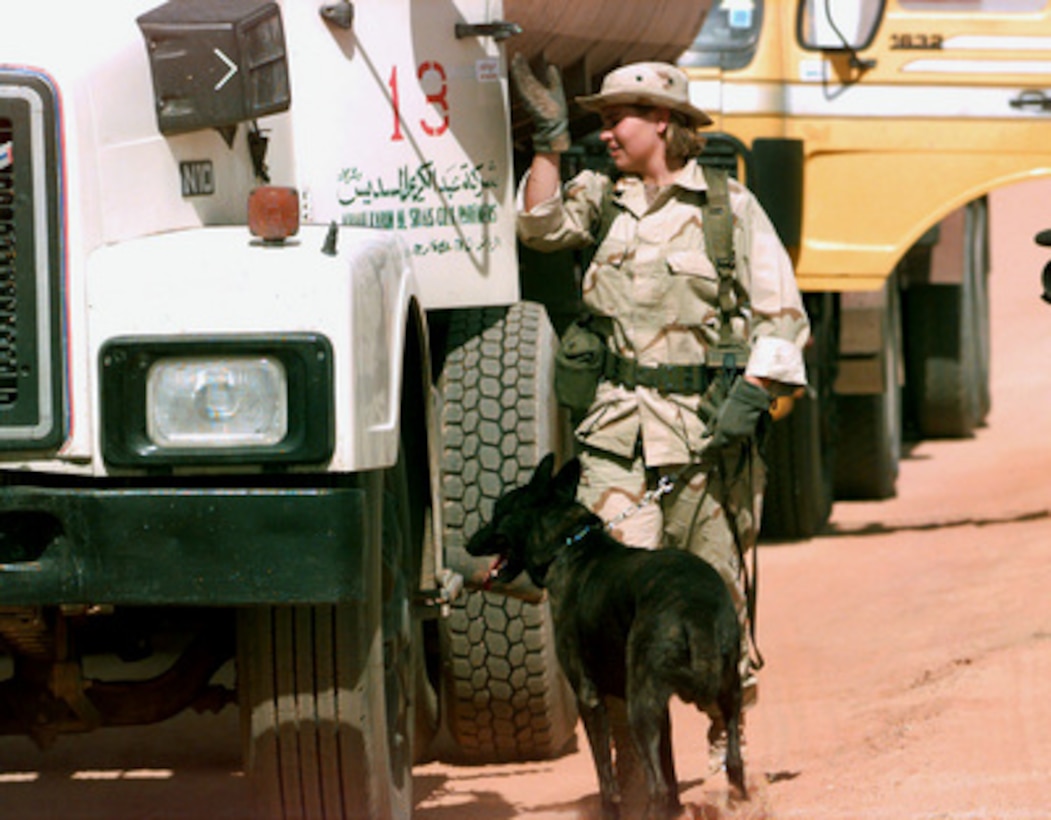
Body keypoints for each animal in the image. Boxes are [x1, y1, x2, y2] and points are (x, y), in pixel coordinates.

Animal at [468, 454, 748, 820]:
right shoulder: (660, 708)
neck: (570, 543)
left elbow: (607, 780)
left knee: (656, 787)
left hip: (640, 708)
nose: (468, 543)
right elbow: (670, 772)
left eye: (498, 512)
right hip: (725, 694)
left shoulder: (589, 699)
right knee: (734, 764)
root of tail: (695, 609)